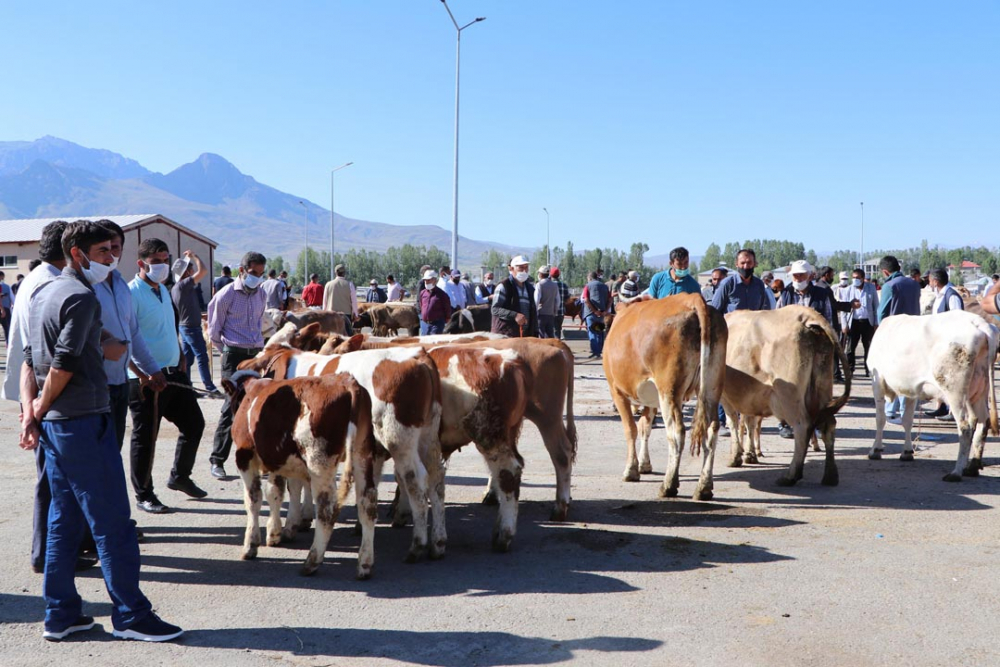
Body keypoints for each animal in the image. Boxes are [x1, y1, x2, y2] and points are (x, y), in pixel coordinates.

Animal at [225, 374, 376, 576]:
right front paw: (275, 532)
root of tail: (346, 381)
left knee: (327, 509)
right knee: (368, 503)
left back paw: (312, 561)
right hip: (362, 453)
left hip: (319, 461)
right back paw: (365, 564)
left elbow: (253, 500)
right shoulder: (278, 460)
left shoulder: (245, 456)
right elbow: (276, 493)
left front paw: (251, 544)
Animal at [600, 294, 728, 500]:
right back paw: (704, 487)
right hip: (712, 386)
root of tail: (692, 299)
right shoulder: (651, 398)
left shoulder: (616, 390)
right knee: (711, 431)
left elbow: (631, 429)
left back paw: (668, 485)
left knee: (676, 433)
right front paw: (644, 464)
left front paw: (631, 470)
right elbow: (645, 427)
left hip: (669, 391)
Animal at [720, 306, 852, 488]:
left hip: (789, 395)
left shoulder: (726, 396)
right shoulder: (750, 396)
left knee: (802, 426)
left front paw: (736, 457)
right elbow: (749, 422)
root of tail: (806, 315)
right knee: (828, 425)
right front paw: (750, 454)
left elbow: (733, 422)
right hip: (822, 388)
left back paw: (791, 476)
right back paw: (830, 476)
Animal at [864, 310, 996, 478]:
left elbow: (880, 419)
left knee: (965, 428)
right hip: (979, 390)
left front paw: (875, 450)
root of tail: (978, 322)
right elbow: (907, 420)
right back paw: (972, 467)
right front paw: (907, 452)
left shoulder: (878, 382)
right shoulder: (911, 390)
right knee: (982, 424)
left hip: (955, 391)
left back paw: (956, 473)